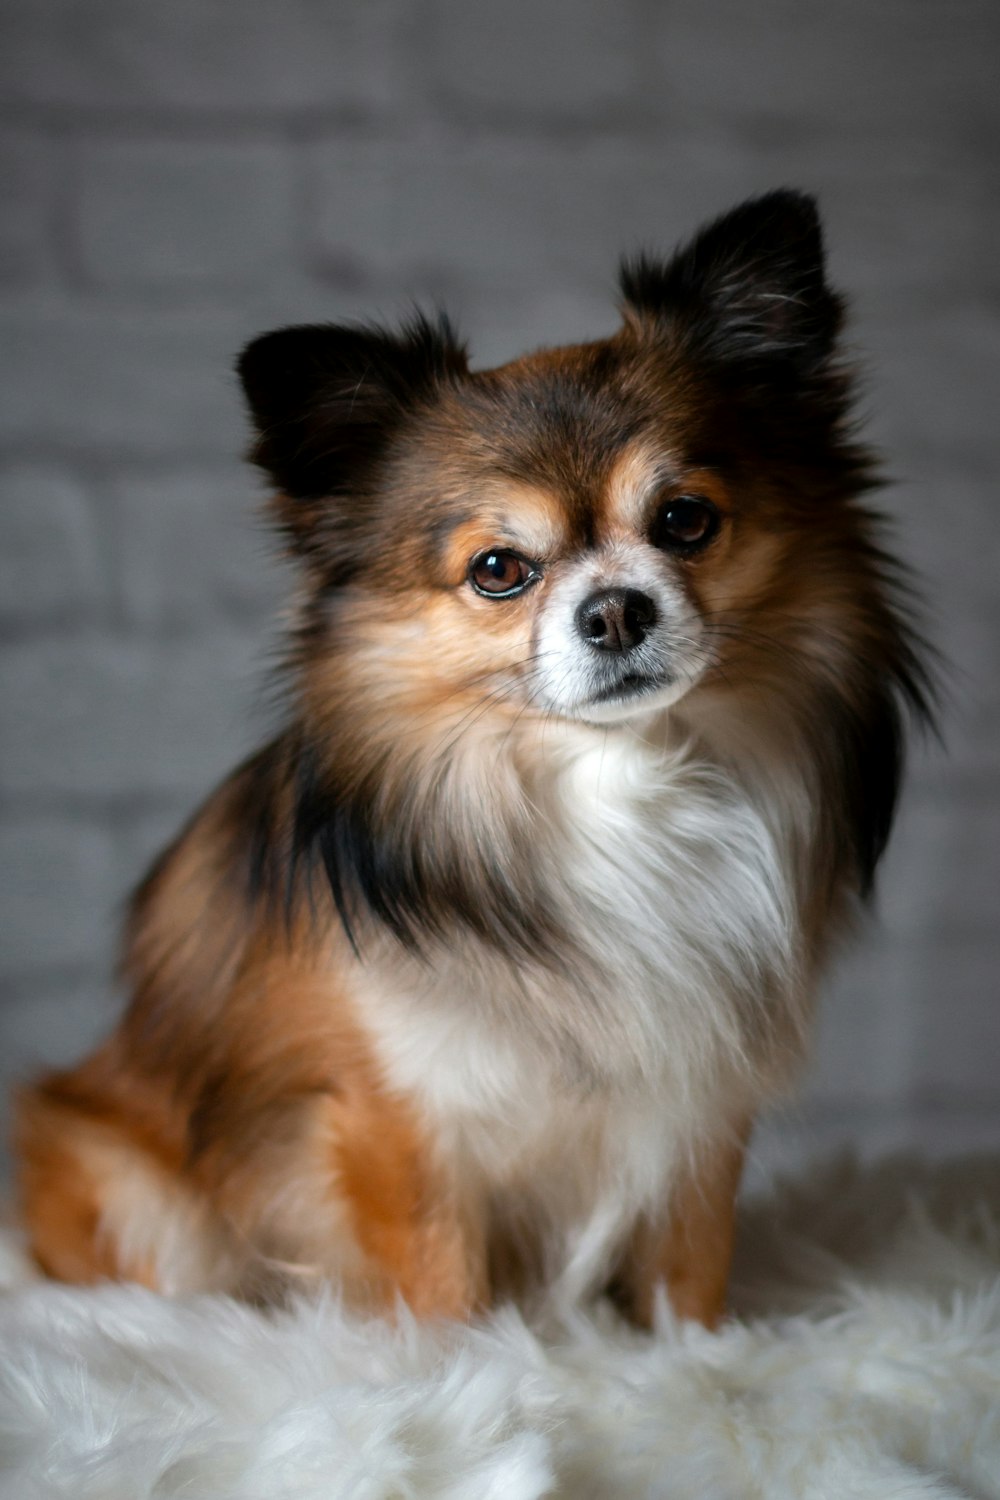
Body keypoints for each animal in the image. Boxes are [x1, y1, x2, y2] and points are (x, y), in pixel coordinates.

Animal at [9, 187, 929, 1326]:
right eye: (499, 570)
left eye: (684, 521)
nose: (614, 609)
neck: (617, 785)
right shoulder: (401, 1121)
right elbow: (445, 1290)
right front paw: (482, 1362)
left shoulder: (696, 1109)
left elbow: (687, 1274)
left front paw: (697, 1353)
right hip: (128, 1183)